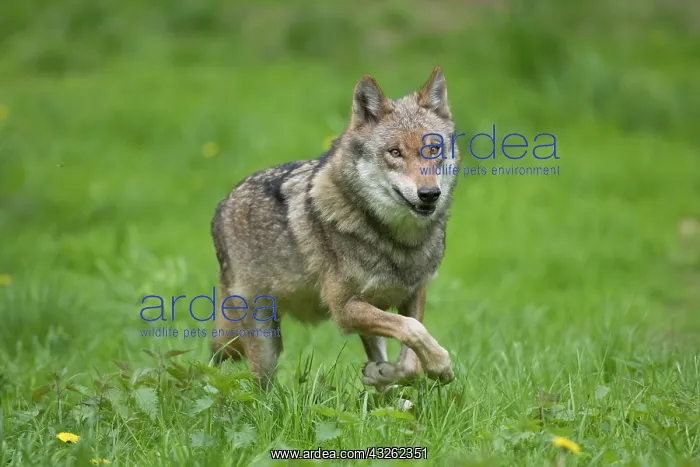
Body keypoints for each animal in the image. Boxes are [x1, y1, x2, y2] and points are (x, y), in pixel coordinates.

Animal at [211, 67, 461, 390]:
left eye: (433, 149)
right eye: (394, 152)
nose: (429, 194)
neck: (398, 242)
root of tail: (222, 205)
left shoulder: (413, 293)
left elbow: (410, 359)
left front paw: (386, 373)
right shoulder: (344, 308)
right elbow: (414, 330)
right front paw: (441, 365)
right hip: (264, 344)